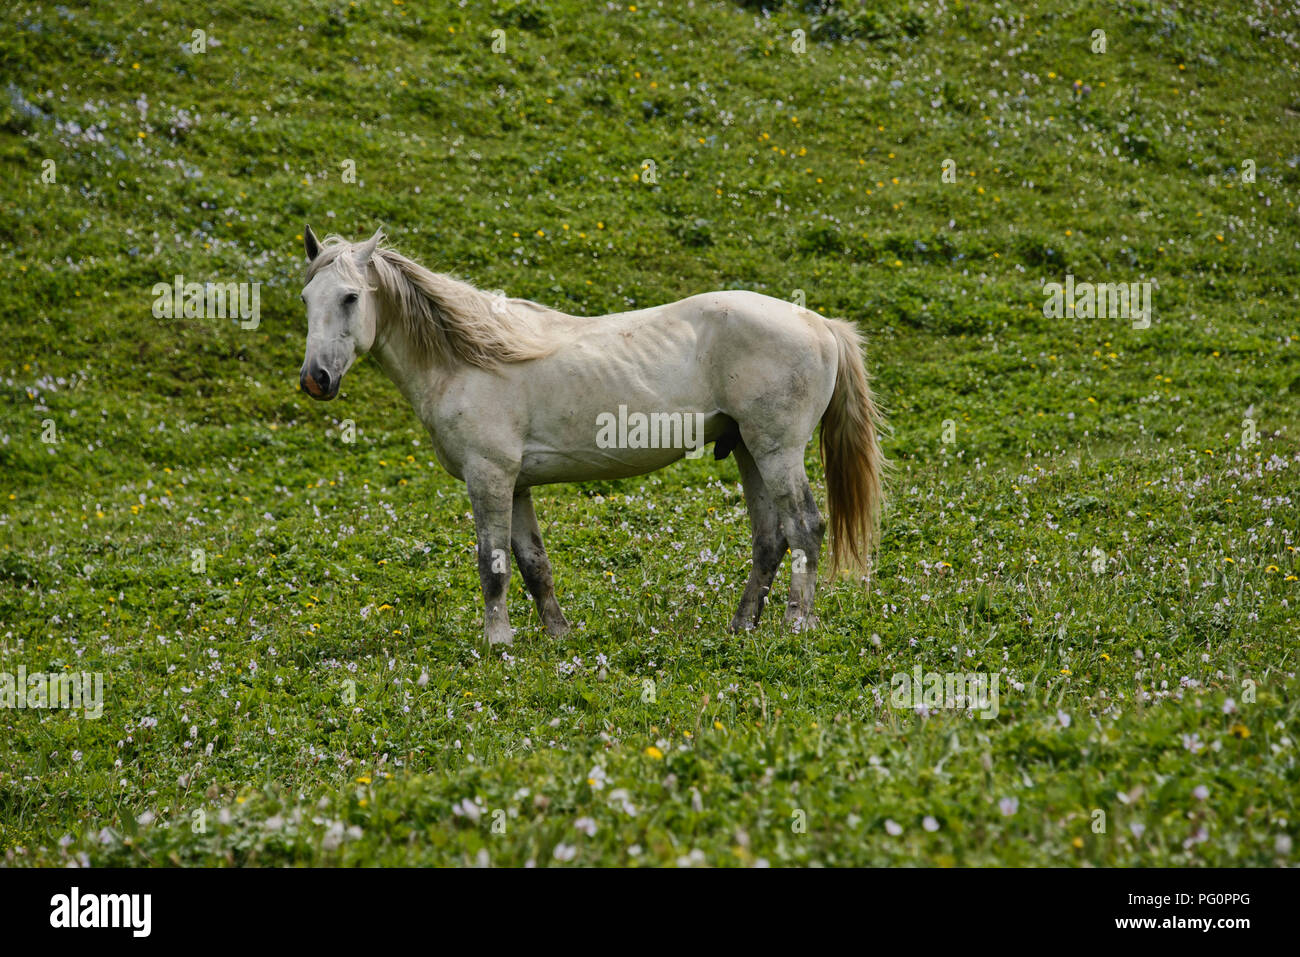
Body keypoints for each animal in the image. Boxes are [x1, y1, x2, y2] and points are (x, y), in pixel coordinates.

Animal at [297, 227, 883, 647]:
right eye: (306, 298)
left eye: (350, 297)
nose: (316, 379)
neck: (468, 359)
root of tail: (820, 323)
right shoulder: (516, 485)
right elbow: (533, 564)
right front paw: (558, 635)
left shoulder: (489, 477)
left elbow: (492, 564)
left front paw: (497, 641)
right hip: (749, 451)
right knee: (770, 537)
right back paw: (743, 626)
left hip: (777, 450)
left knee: (804, 527)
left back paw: (795, 625)